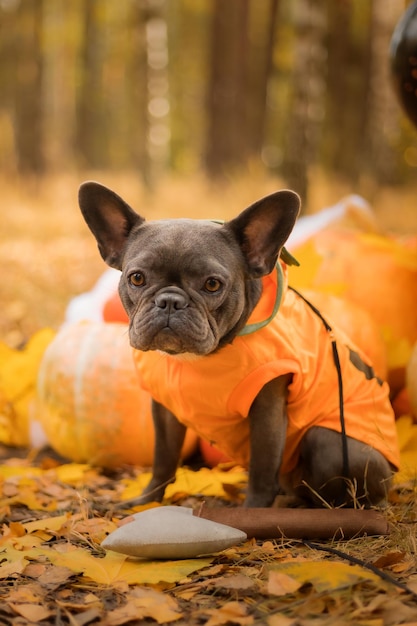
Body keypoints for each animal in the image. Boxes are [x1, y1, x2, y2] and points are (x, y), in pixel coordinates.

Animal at [76, 182, 398, 508]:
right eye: (137, 278)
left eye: (212, 284)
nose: (170, 301)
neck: (195, 359)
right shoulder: (165, 412)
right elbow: (163, 460)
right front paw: (145, 501)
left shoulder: (267, 411)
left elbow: (262, 468)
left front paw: (252, 512)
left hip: (330, 443)